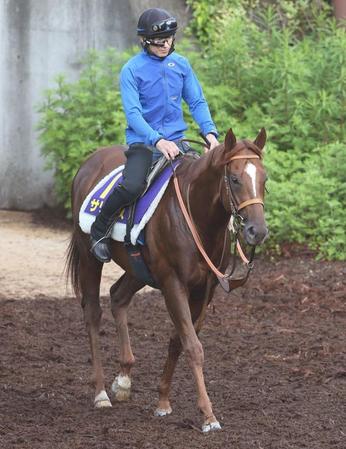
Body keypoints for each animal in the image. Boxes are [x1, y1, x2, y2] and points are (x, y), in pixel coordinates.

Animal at [66, 126, 268, 430]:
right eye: (234, 179)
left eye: (264, 179)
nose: (258, 231)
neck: (196, 217)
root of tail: (90, 161)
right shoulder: (173, 284)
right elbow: (193, 346)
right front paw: (208, 415)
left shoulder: (204, 290)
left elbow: (178, 340)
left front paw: (162, 401)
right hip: (90, 258)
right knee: (92, 312)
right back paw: (100, 393)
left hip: (138, 269)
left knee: (118, 297)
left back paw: (123, 379)